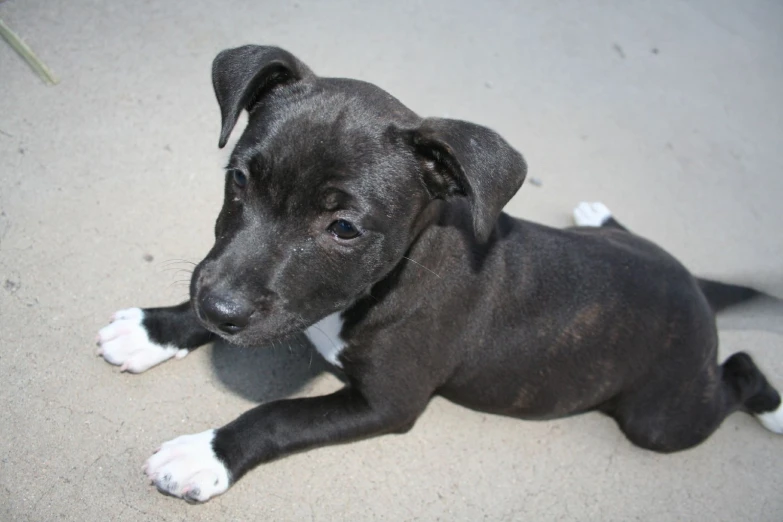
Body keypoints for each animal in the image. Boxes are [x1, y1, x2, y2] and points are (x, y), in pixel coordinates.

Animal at [98, 45, 783, 500]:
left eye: (343, 228)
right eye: (238, 178)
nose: (222, 310)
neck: (392, 274)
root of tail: (692, 287)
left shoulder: (388, 403)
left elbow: (278, 415)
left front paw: (205, 453)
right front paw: (156, 328)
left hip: (661, 418)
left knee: (737, 374)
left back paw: (773, 407)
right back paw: (602, 215)